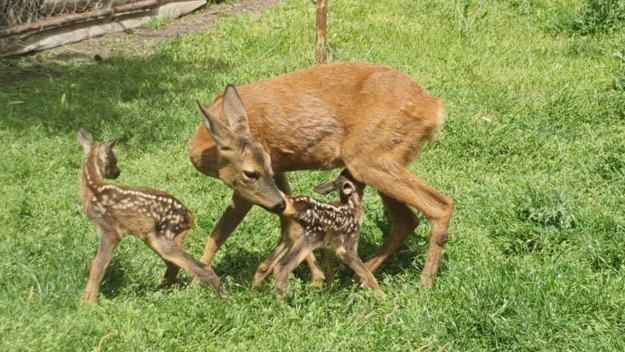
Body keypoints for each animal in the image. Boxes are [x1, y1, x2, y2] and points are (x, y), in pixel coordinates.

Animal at [188, 62, 450, 290]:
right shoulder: (278, 170)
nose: (276, 204)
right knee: (407, 220)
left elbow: (220, 233)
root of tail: (433, 108)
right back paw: (356, 279)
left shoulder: (252, 184)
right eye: (256, 169)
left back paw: (424, 286)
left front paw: (196, 284)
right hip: (381, 160)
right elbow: (284, 218)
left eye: (250, 172)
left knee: (441, 206)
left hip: (369, 158)